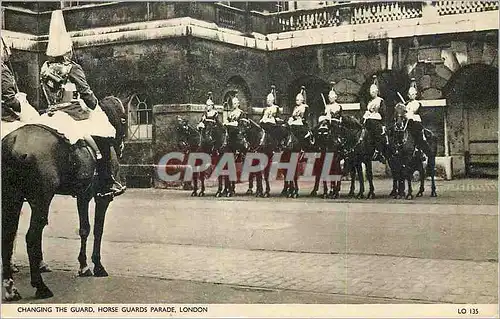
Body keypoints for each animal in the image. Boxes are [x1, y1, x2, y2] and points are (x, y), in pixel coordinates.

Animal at [2, 96, 127, 302]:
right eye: (123, 120)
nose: (122, 145)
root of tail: (13, 143)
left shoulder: (83, 195)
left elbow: (84, 229)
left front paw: (84, 266)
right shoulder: (101, 199)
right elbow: (97, 230)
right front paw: (97, 266)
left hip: (13, 198)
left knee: (8, 236)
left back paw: (10, 288)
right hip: (41, 199)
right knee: (31, 236)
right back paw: (40, 286)